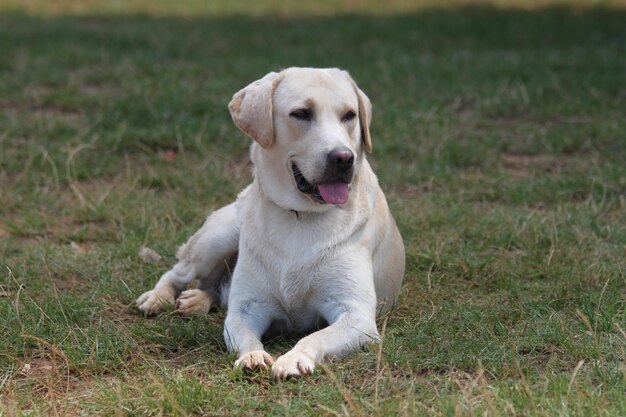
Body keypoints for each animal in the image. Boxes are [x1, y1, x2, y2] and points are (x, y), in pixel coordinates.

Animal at [135, 66, 404, 380]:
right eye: (301, 113)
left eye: (350, 115)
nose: (343, 157)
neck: (300, 216)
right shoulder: (248, 308)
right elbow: (244, 333)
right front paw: (252, 356)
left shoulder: (356, 314)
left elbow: (314, 336)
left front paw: (294, 358)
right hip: (218, 238)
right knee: (178, 273)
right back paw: (158, 297)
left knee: (216, 290)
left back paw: (197, 301)